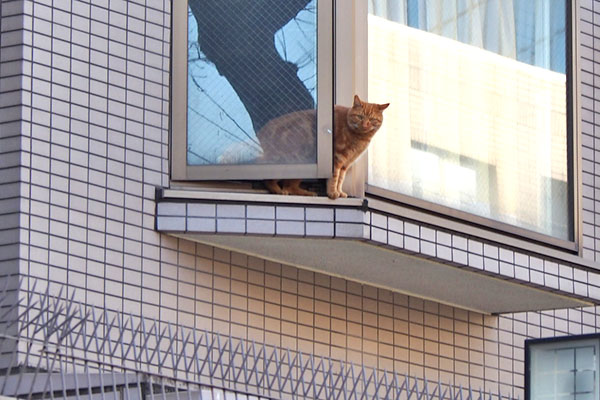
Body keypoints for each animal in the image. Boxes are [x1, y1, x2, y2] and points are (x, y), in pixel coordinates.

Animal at [256, 94, 390, 200]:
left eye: (372, 119)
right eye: (360, 117)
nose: (365, 124)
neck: (359, 137)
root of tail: (262, 132)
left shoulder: (345, 164)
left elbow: (340, 179)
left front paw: (339, 192)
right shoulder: (337, 158)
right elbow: (334, 178)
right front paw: (332, 193)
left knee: (289, 186)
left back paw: (306, 193)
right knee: (271, 179)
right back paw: (279, 191)